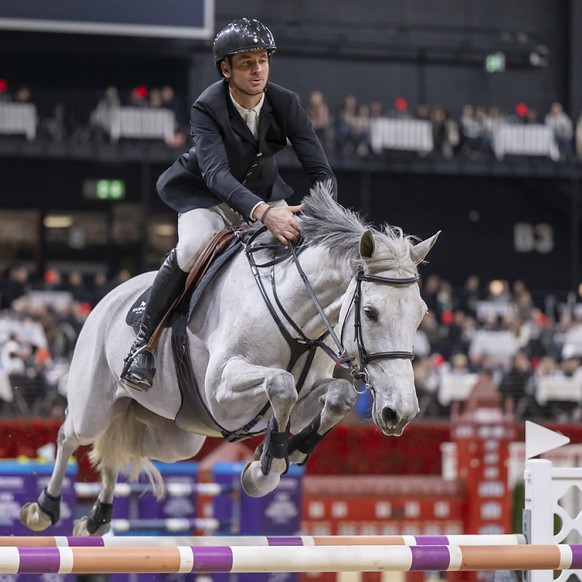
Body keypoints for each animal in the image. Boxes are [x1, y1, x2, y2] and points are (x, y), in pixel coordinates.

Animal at [19, 184, 438, 540]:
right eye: (370, 312)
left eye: (421, 314)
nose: (400, 413)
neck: (297, 311)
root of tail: (107, 298)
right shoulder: (221, 390)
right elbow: (280, 384)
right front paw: (268, 465)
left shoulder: (309, 393)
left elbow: (338, 396)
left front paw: (285, 454)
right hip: (94, 405)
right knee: (70, 435)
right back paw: (44, 509)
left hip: (176, 438)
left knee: (118, 450)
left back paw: (97, 518)